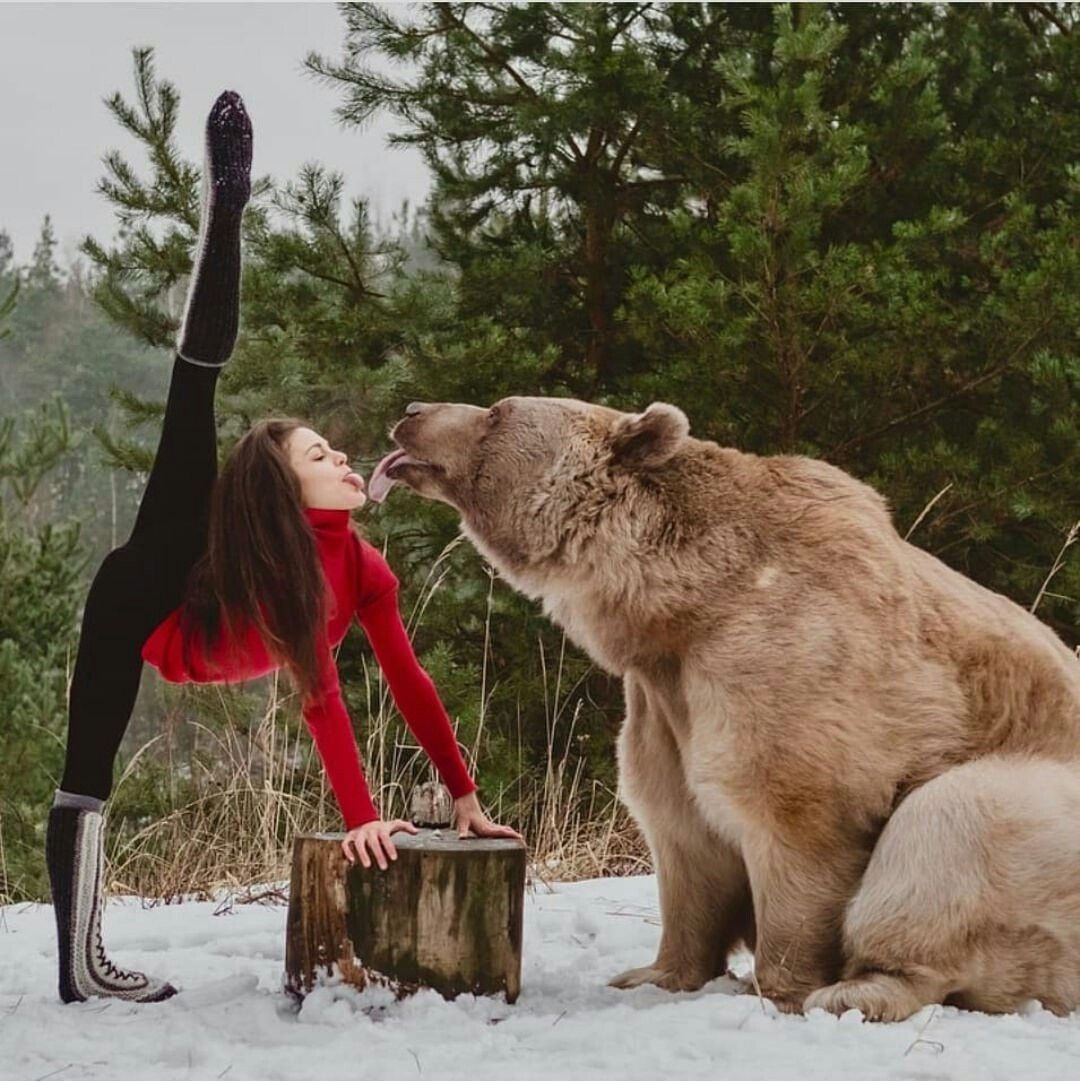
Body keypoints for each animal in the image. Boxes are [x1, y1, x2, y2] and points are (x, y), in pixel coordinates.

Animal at [367, 396, 1080, 1020]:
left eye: (497, 413)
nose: (412, 413)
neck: (683, 606)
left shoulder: (787, 657)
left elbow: (795, 816)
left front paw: (776, 986)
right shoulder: (664, 701)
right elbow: (681, 829)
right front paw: (653, 973)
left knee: (953, 822)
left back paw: (860, 989)